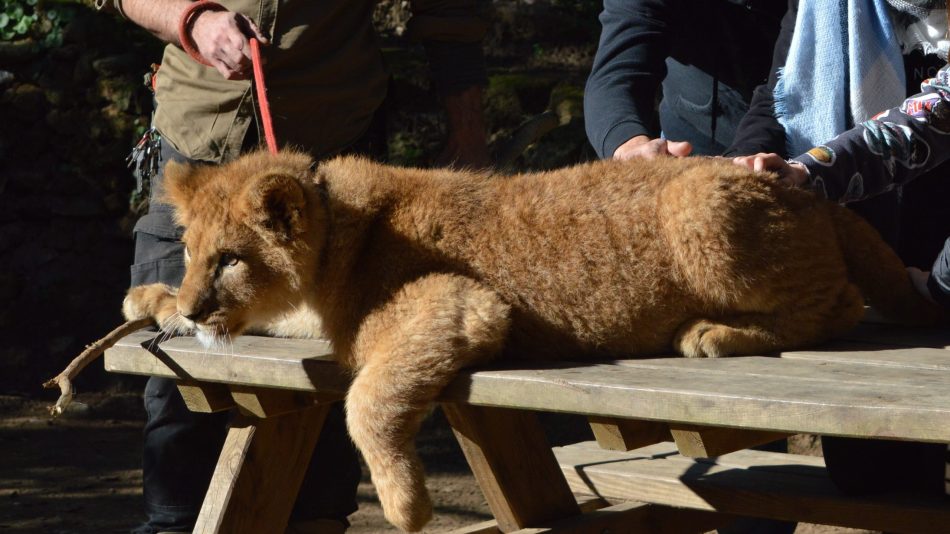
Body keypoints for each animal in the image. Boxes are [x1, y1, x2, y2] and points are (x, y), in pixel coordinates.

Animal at [121, 150, 944, 532]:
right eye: (189, 251)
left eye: (231, 259)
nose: (193, 302)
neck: (336, 237)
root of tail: (811, 192)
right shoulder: (319, 312)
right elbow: (284, 324)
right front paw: (153, 301)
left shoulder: (461, 302)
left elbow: (366, 400)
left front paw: (405, 504)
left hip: (700, 209)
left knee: (840, 304)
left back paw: (708, 332)